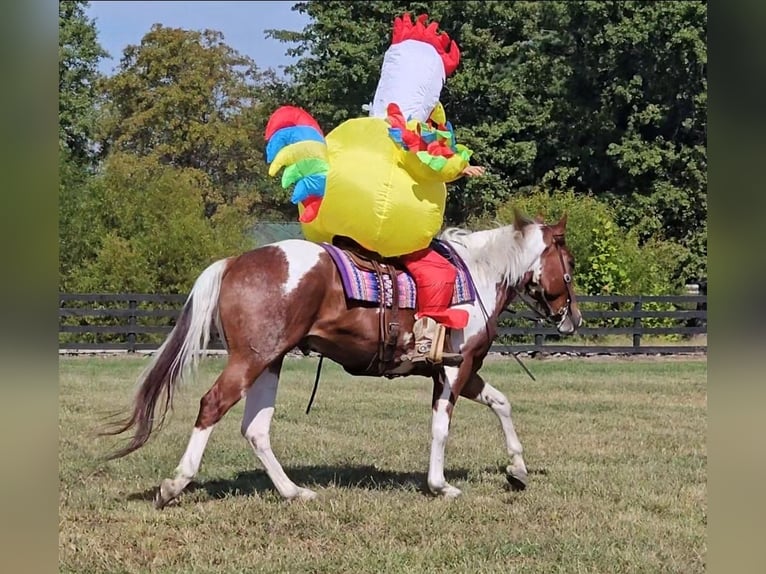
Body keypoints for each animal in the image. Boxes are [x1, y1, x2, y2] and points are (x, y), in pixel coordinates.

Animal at [106, 211, 582, 507]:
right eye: (570, 263)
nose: (573, 318)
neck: (479, 273)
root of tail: (236, 261)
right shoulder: (453, 368)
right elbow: (442, 427)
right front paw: (440, 485)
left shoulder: (463, 371)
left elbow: (502, 403)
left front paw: (517, 470)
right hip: (251, 359)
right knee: (212, 406)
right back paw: (174, 485)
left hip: (271, 360)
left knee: (255, 428)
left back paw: (294, 492)